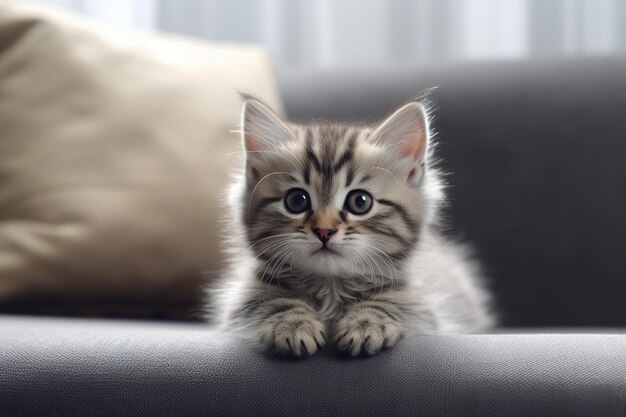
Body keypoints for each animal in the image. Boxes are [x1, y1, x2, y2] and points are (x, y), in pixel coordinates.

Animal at [212, 96, 494, 356]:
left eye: (360, 202)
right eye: (296, 200)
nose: (324, 231)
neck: (331, 287)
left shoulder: (423, 308)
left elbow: (392, 301)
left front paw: (366, 323)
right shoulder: (243, 299)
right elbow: (273, 301)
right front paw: (292, 324)